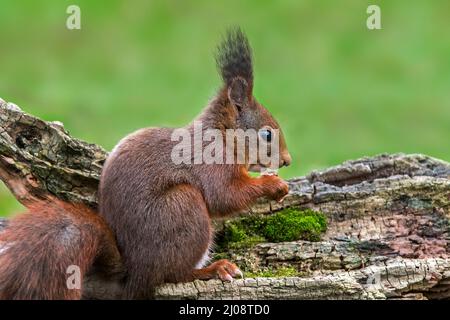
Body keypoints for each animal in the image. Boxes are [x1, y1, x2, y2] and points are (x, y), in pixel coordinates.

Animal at [0, 28, 290, 300]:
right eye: (267, 135)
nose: (287, 161)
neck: (223, 136)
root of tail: (134, 273)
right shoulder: (211, 161)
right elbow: (225, 196)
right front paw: (274, 185)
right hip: (183, 206)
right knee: (172, 274)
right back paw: (213, 269)